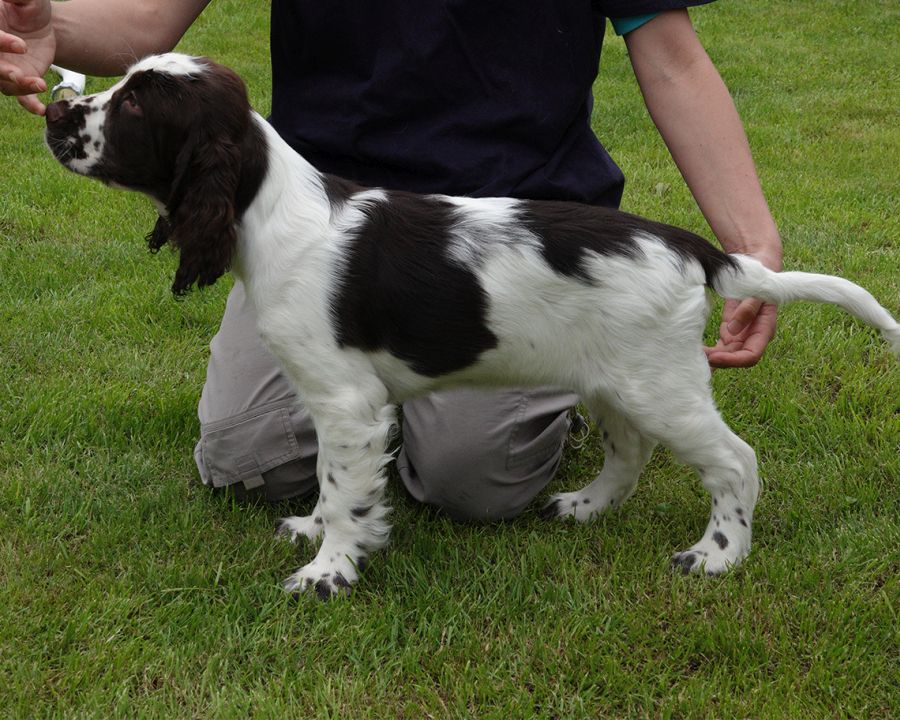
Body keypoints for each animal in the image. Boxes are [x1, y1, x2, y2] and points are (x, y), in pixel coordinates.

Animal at [44, 53, 900, 600]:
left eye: (134, 105)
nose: (54, 110)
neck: (272, 209)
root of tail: (693, 246)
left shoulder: (349, 401)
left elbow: (348, 490)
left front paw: (330, 571)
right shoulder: (328, 400)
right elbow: (325, 475)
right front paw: (312, 529)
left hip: (661, 384)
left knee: (734, 462)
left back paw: (717, 556)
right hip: (616, 378)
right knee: (630, 452)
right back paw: (583, 507)